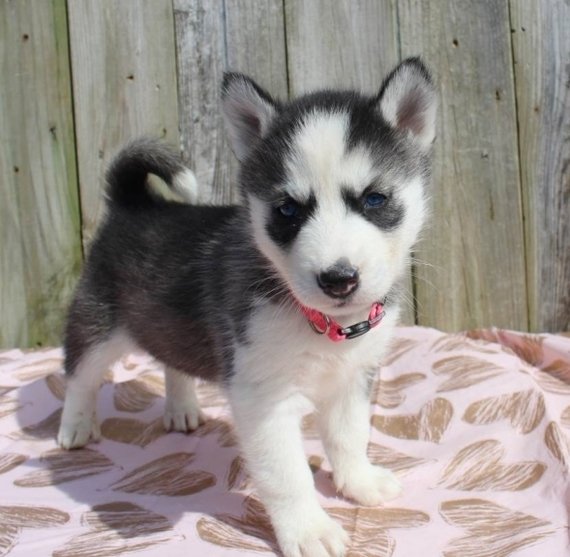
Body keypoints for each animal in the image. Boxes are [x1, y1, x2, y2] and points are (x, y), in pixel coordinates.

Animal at [57, 58, 434, 552]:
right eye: (288, 209)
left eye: (374, 199)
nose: (338, 279)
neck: (322, 325)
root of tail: (135, 203)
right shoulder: (263, 397)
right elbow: (288, 475)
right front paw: (309, 530)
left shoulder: (353, 378)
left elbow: (349, 436)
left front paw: (359, 482)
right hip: (98, 322)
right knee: (80, 373)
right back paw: (76, 425)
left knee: (171, 358)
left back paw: (181, 407)